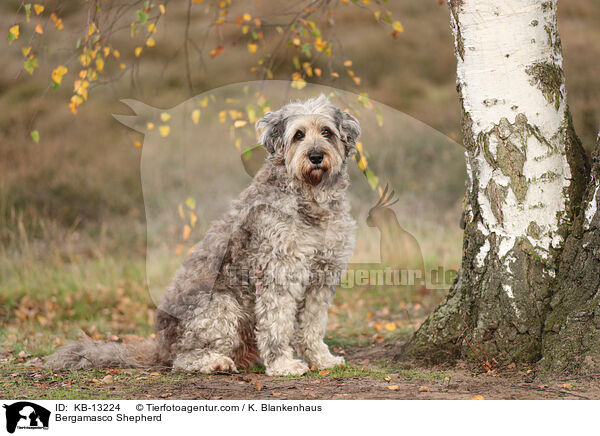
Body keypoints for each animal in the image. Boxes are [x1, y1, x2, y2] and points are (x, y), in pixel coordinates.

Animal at [47, 94, 358, 374]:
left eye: (326, 132)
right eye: (298, 135)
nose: (316, 156)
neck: (310, 200)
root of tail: (160, 345)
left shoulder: (322, 276)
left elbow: (312, 326)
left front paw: (322, 360)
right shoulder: (277, 273)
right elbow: (277, 325)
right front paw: (283, 364)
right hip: (222, 308)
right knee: (183, 359)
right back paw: (215, 363)